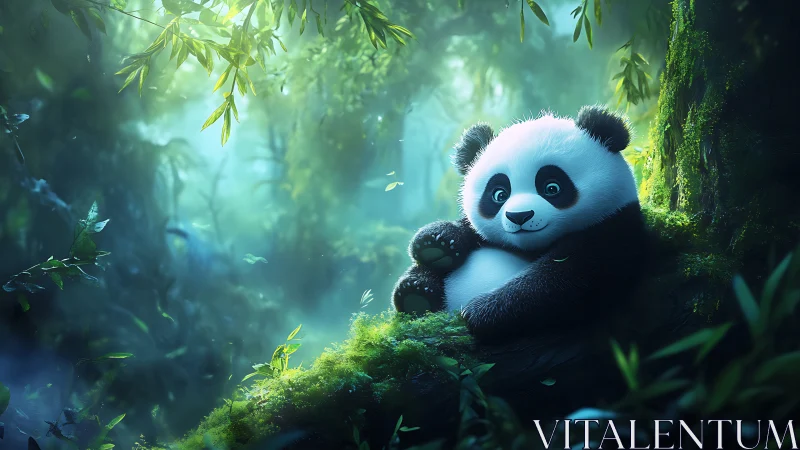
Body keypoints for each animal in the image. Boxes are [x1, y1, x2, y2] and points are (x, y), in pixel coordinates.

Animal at [391, 105, 651, 342]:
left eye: (552, 188)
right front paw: (435, 242)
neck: (531, 246)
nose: (519, 216)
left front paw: (480, 311)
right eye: (499, 194)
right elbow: (468, 231)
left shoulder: (612, 228)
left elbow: (563, 281)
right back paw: (416, 292)